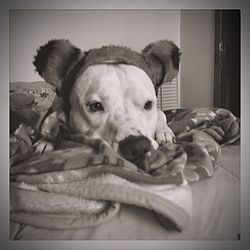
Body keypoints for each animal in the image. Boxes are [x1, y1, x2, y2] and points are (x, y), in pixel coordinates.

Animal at [33, 39, 181, 164]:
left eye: (148, 104)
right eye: (95, 106)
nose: (138, 146)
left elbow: (161, 114)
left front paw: (164, 131)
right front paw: (45, 142)